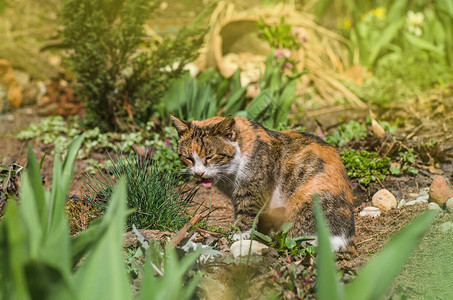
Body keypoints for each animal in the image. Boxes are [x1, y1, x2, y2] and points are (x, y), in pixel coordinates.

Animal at [170, 115, 354, 251]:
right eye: (188, 158)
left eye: (210, 157)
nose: (198, 173)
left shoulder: (253, 188)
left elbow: (247, 213)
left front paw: (237, 236)